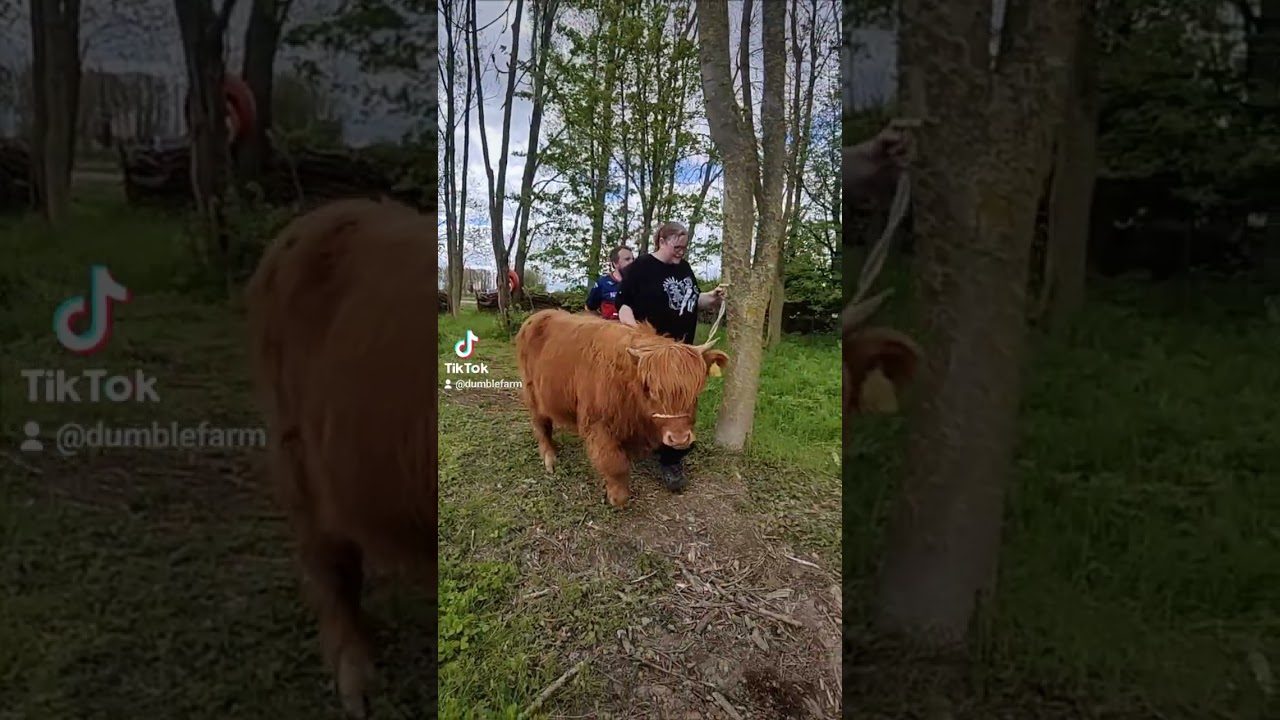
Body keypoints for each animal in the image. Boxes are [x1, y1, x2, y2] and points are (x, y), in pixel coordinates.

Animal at [515, 309, 729, 507]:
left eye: (696, 390)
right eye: (649, 388)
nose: (679, 439)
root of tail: (539, 315)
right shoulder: (597, 424)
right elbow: (614, 464)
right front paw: (618, 496)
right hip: (532, 392)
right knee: (541, 424)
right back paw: (549, 458)